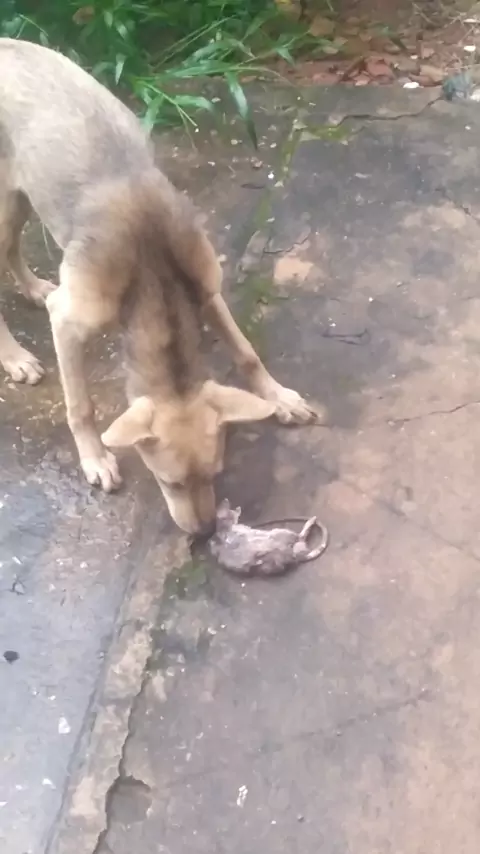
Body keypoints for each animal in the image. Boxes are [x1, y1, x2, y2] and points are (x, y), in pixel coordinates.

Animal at [0, 38, 316, 534]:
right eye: (168, 483)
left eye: (215, 473)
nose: (206, 534)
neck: (152, 273)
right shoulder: (69, 320)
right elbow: (80, 405)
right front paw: (96, 459)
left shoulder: (206, 288)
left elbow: (245, 351)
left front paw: (278, 396)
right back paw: (14, 357)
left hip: (20, 197)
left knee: (12, 249)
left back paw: (33, 288)